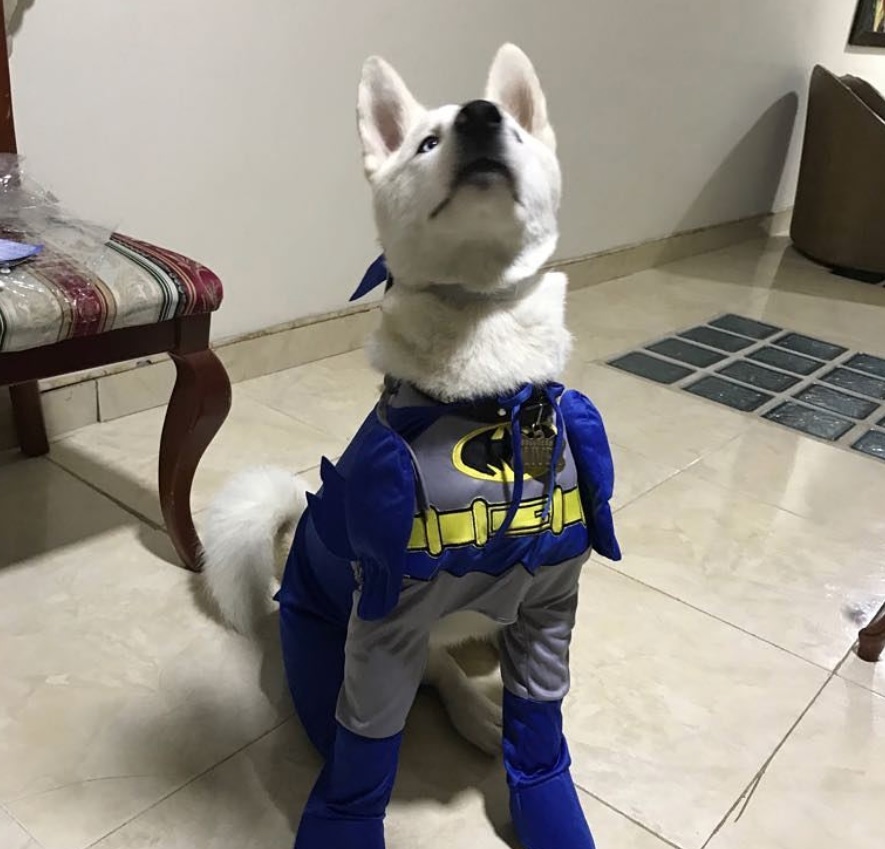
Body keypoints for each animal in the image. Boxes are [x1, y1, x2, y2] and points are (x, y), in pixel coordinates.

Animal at [202, 43, 568, 752]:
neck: (477, 316)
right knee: (440, 669)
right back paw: (475, 709)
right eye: (427, 142)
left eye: (512, 128)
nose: (481, 117)